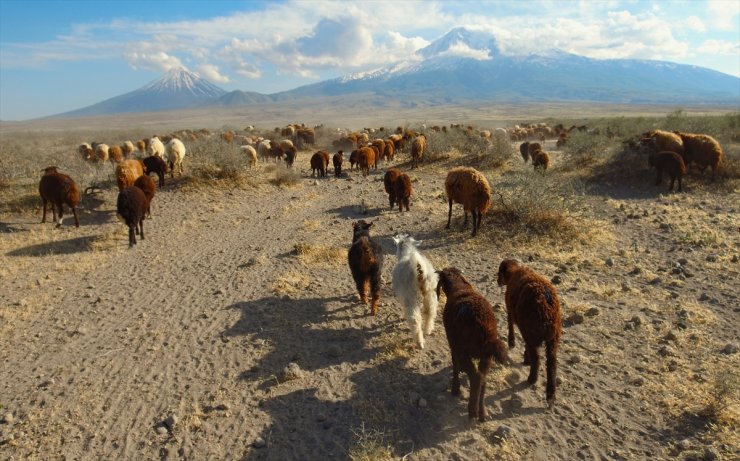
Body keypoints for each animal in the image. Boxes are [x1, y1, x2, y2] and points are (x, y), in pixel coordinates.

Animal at [436, 266, 512, 420]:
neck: (460, 288)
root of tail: (484, 330)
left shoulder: (454, 345)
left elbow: (455, 364)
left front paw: (455, 389)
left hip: (465, 351)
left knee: (476, 377)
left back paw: (472, 410)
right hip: (486, 357)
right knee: (483, 378)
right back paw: (482, 412)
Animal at [498, 258, 560, 406]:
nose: (497, 281)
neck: (514, 273)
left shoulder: (512, 312)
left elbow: (510, 325)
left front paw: (512, 343)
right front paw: (526, 358)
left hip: (533, 331)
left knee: (536, 357)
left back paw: (532, 378)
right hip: (552, 338)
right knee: (552, 362)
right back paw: (550, 393)